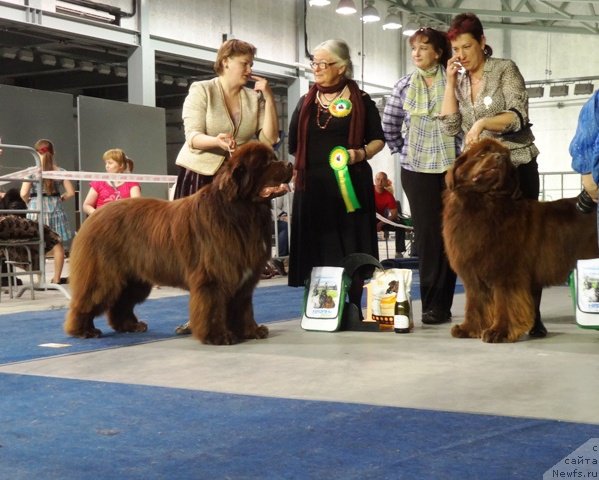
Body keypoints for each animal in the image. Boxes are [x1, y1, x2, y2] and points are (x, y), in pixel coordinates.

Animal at [63, 141, 292, 344]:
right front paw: (218, 336)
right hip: (103, 274)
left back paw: (130, 326)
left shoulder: (243, 278)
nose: (289, 165)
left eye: (274, 158)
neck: (242, 212)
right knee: (87, 300)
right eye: (265, 164)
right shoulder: (213, 277)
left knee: (122, 302)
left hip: (133, 278)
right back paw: (83, 330)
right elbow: (214, 307)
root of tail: (94, 216)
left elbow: (244, 307)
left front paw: (251, 331)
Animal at [442, 137, 596, 344]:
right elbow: (475, 303)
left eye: (505, 157)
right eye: (482, 153)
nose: (498, 158)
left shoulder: (507, 271)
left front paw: (498, 332)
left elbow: (504, 303)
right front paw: (469, 329)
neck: (483, 202)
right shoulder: (474, 273)